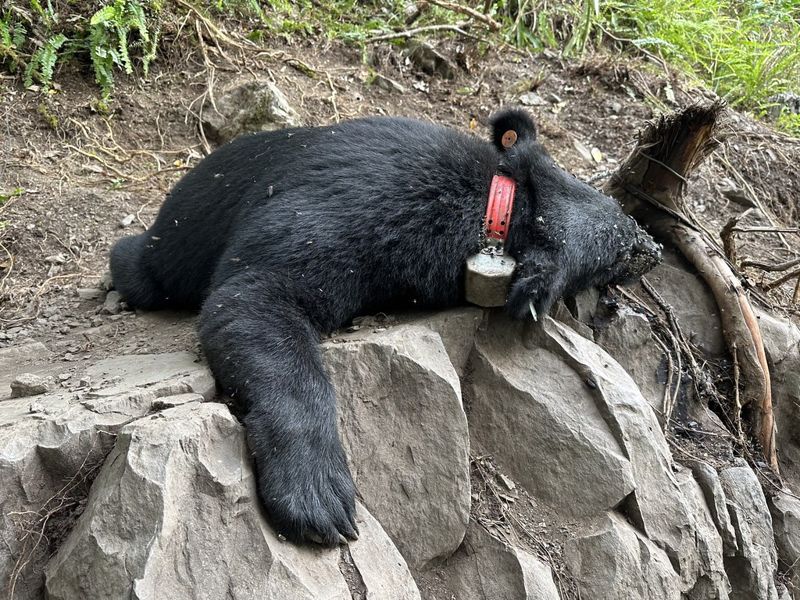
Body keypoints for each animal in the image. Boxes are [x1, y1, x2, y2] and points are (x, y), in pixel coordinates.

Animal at [110, 109, 661, 547]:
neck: (495, 209)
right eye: (624, 244)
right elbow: (254, 296)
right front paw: (319, 500)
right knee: (147, 267)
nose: (654, 247)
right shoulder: (358, 210)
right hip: (178, 241)